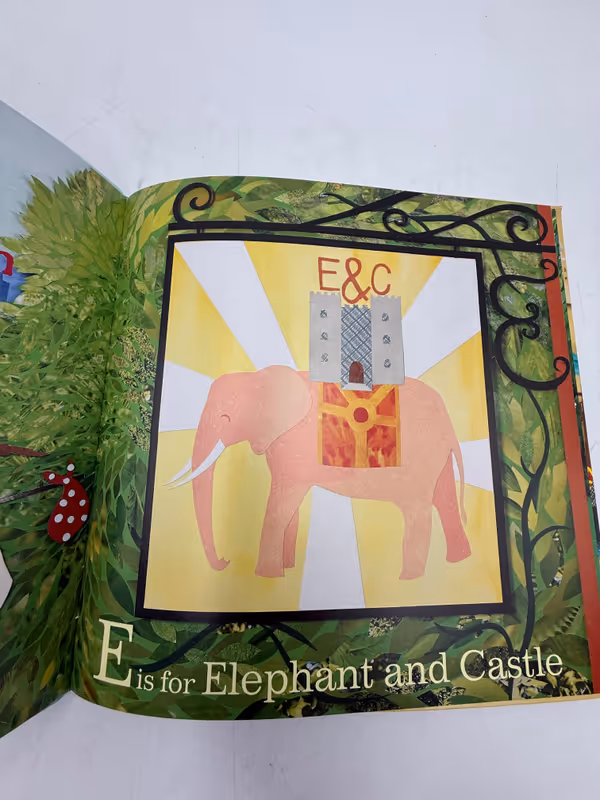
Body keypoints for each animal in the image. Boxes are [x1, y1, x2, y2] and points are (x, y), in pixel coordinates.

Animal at [168, 366, 471, 580]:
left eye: (225, 419)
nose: (225, 562)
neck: (258, 378)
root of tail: (447, 419)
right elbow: (289, 509)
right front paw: (286, 570)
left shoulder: (292, 447)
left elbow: (281, 505)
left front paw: (266, 576)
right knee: (443, 499)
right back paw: (460, 562)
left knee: (417, 511)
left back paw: (408, 579)